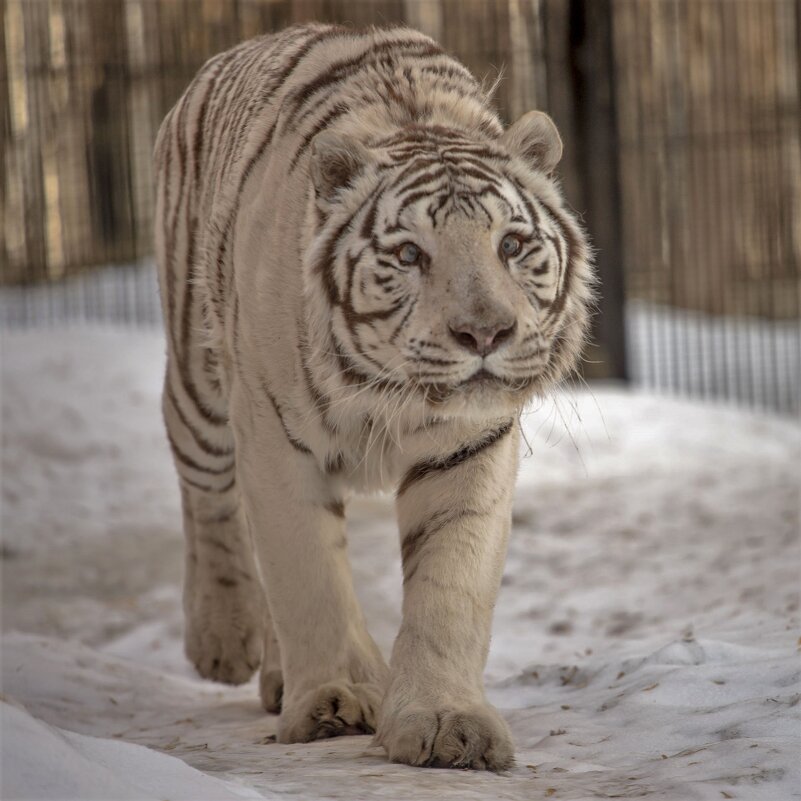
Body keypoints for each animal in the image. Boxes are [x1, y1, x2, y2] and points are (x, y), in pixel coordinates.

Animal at [155, 23, 592, 768]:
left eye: (509, 245)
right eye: (411, 255)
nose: (485, 332)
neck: (386, 393)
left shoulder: (468, 447)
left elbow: (449, 589)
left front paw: (446, 722)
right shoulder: (273, 438)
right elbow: (307, 575)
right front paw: (332, 700)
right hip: (199, 383)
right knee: (208, 494)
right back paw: (225, 637)